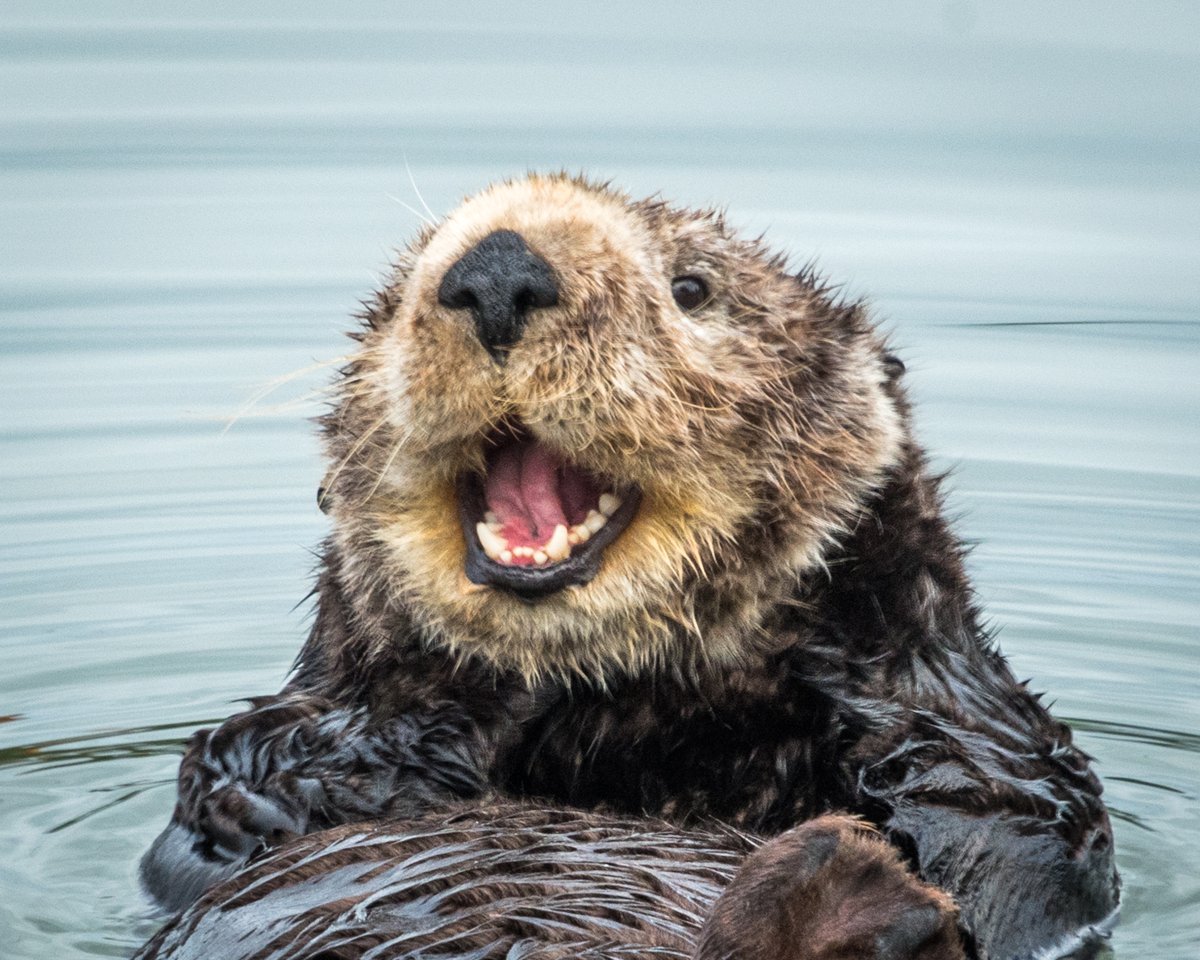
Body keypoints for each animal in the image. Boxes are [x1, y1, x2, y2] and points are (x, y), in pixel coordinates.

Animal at [140, 175, 1119, 960]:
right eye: (413, 272)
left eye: (692, 287)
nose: (496, 268)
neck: (639, 730)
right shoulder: (260, 774)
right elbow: (269, 772)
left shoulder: (981, 738)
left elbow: (999, 811)